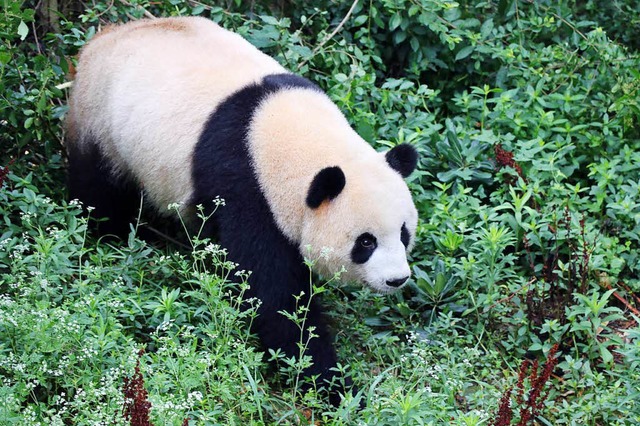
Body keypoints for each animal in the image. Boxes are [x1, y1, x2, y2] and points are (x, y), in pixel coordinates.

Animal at [67, 15, 418, 402]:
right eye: (366, 242)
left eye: (404, 233)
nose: (397, 279)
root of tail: (103, 36)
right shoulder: (246, 187)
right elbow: (273, 297)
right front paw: (331, 383)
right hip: (100, 119)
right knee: (99, 188)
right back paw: (109, 236)